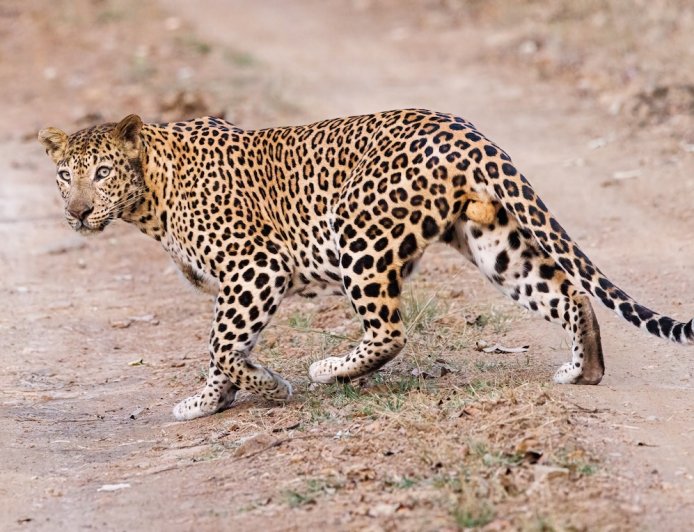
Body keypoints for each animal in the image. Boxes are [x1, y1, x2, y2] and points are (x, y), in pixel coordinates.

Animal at [38, 109, 694, 421]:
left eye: (102, 172)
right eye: (65, 175)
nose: (76, 212)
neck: (149, 198)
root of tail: (466, 130)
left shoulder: (257, 267)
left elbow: (221, 345)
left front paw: (242, 392)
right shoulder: (240, 281)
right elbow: (230, 348)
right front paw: (228, 396)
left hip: (360, 234)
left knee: (390, 330)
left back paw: (331, 369)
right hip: (492, 240)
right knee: (568, 293)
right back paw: (584, 372)